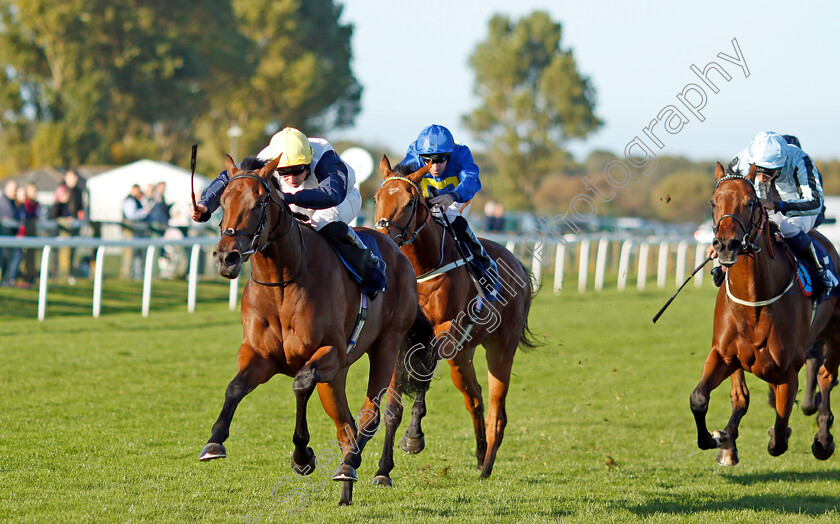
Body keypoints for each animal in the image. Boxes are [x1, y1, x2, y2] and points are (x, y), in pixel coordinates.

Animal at [197, 155, 434, 504]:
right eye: (224, 201)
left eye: (259, 203)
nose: (227, 256)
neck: (283, 284)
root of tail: (397, 250)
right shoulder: (259, 355)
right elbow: (234, 388)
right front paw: (215, 441)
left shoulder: (329, 353)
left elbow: (300, 384)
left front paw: (302, 456)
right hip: (337, 377)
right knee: (346, 426)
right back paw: (346, 485)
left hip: (387, 346)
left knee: (372, 414)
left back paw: (355, 466)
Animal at [374, 156, 540, 484]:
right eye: (377, 198)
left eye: (410, 202)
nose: (384, 238)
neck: (422, 270)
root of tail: (517, 263)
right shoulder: (401, 338)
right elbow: (392, 406)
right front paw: (383, 470)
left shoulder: (445, 331)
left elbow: (423, 375)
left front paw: (413, 437)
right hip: (463, 356)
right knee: (475, 400)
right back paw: (479, 456)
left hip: (501, 349)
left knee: (496, 413)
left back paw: (486, 466)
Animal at [692, 162, 836, 464]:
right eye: (713, 202)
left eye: (750, 202)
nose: (726, 245)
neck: (753, 304)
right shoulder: (724, 354)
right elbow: (700, 399)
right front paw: (718, 438)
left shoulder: (787, 371)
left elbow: (779, 436)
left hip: (835, 331)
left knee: (826, 377)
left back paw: (823, 440)